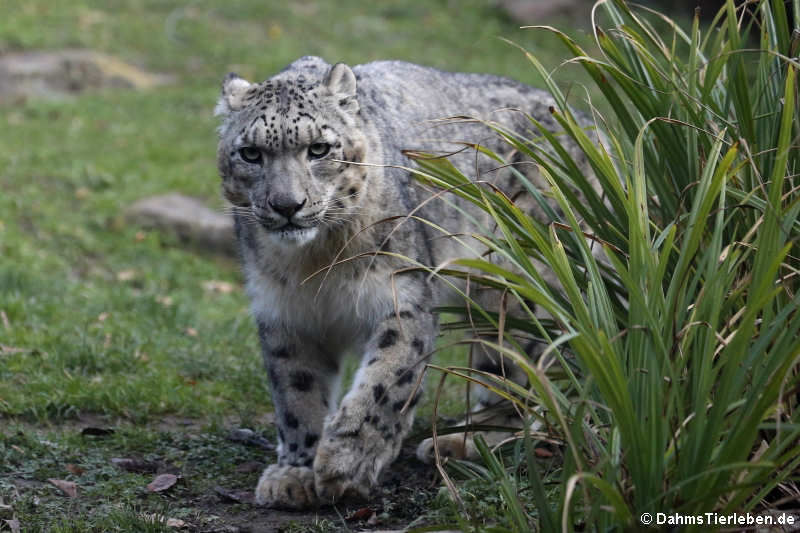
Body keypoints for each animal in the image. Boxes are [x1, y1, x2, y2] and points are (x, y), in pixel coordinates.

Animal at [216, 55, 592, 508]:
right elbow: (297, 392)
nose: (287, 205)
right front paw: (296, 471)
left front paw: (346, 462)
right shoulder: (285, 313)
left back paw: (470, 440)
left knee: (522, 365)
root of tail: (583, 122)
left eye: (318, 148)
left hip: (519, 280)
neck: (315, 263)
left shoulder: (399, 296)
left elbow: (385, 381)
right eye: (251, 153)